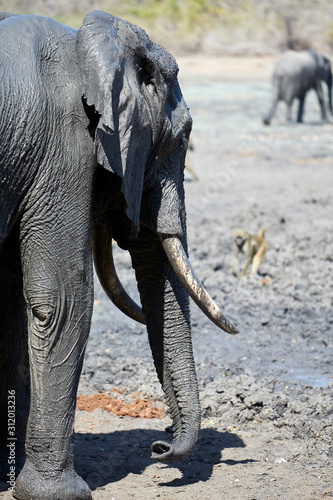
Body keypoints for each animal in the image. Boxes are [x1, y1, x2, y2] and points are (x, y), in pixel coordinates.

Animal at [0, 8, 237, 500]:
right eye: (182, 138)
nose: (159, 448)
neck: (90, 41)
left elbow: (13, 301)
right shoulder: (63, 146)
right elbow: (62, 301)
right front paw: (60, 494)